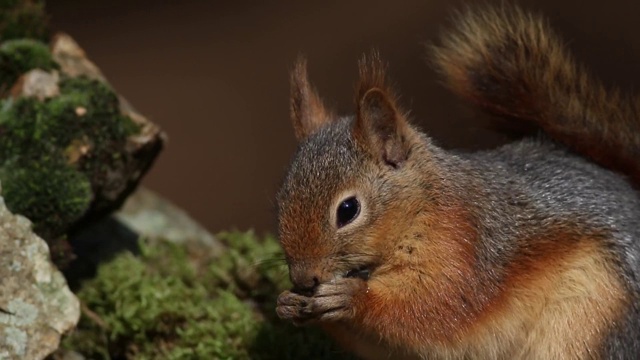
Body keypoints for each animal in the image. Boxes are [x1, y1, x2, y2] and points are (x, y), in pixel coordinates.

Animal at [274, 4, 640, 358]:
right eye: (280, 200)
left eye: (348, 209)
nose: (303, 279)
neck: (425, 204)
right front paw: (288, 303)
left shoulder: (463, 247)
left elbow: (436, 309)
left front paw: (353, 297)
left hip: (590, 320)